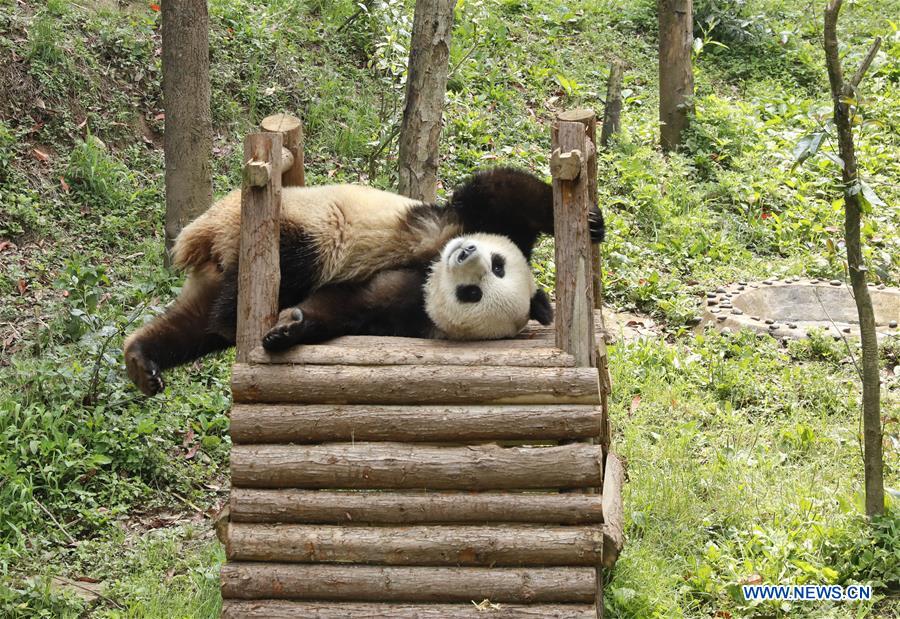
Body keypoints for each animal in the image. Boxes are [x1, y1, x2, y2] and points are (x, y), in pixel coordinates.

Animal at [124, 167, 605, 395]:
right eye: (498, 265)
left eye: (474, 293)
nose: (466, 254)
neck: (430, 271)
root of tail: (204, 239)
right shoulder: (463, 221)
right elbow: (501, 192)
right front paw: (589, 219)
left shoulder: (403, 306)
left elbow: (347, 305)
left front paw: (289, 329)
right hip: (289, 221)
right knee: (301, 254)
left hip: (221, 269)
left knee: (196, 325)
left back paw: (144, 360)